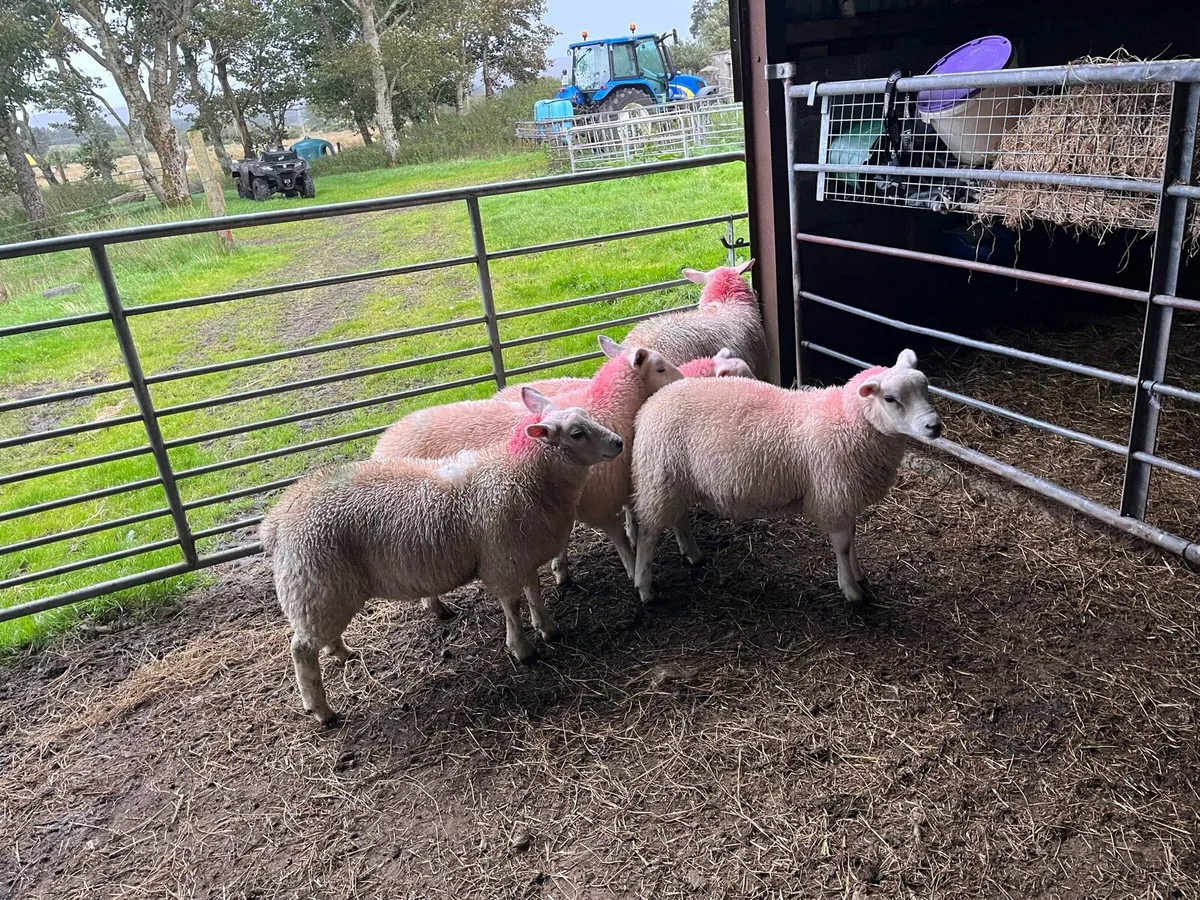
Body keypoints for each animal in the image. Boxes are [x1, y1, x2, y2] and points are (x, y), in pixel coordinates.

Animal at [260, 388, 623, 725]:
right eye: (577, 433)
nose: (619, 443)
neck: (520, 473)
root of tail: (276, 519)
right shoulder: (502, 559)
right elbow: (513, 605)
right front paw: (522, 649)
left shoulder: (522, 552)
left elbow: (535, 593)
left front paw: (548, 628)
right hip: (314, 580)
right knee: (301, 650)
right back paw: (321, 710)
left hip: (322, 590)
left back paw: (341, 651)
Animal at [371, 335, 681, 613]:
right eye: (660, 368)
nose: (682, 378)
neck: (608, 407)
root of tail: (384, 442)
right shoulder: (597, 501)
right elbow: (618, 537)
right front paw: (634, 572)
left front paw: (561, 570)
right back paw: (436, 607)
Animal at [631, 349, 943, 605]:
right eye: (890, 399)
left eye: (926, 389)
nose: (934, 426)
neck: (846, 419)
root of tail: (651, 403)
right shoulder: (833, 495)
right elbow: (842, 546)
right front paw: (851, 590)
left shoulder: (845, 496)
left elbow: (852, 537)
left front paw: (858, 574)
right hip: (658, 477)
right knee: (647, 534)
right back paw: (644, 588)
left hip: (674, 480)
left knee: (678, 517)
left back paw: (693, 554)